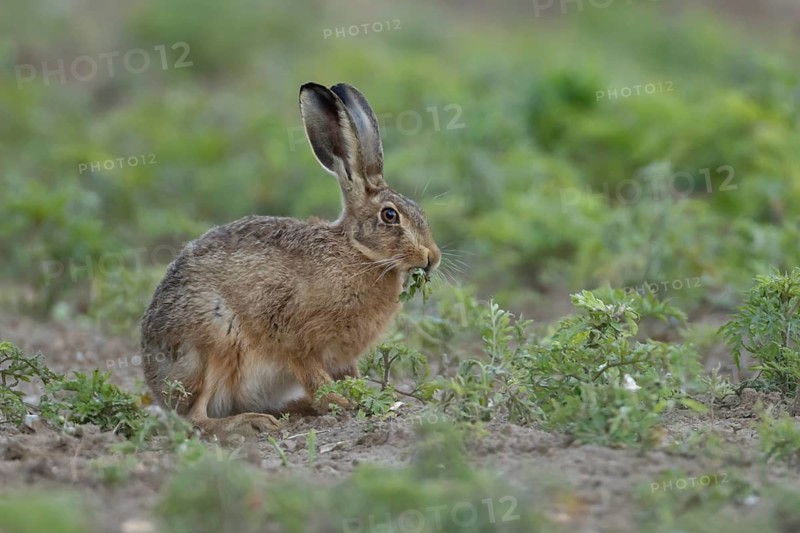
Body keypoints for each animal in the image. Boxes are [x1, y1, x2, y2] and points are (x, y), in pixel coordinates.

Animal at [141, 82, 441, 438]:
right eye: (390, 216)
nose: (432, 257)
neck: (357, 252)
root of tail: (157, 385)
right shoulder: (294, 336)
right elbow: (313, 376)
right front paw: (341, 404)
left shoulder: (341, 358)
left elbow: (348, 376)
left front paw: (363, 399)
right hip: (213, 340)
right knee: (195, 419)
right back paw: (252, 422)